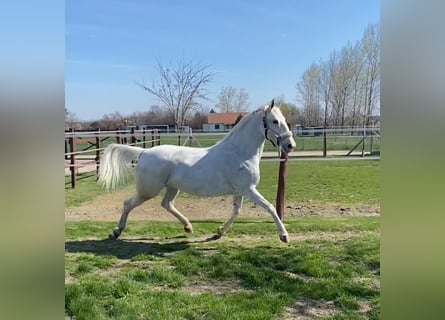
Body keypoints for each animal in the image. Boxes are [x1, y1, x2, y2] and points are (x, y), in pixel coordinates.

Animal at [99, 100, 296, 242]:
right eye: (275, 121)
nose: (290, 145)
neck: (239, 153)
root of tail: (144, 152)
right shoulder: (249, 190)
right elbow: (270, 207)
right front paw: (284, 236)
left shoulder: (240, 191)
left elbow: (236, 212)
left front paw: (218, 233)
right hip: (148, 190)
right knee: (128, 203)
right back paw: (116, 232)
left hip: (172, 188)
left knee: (166, 204)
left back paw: (188, 226)